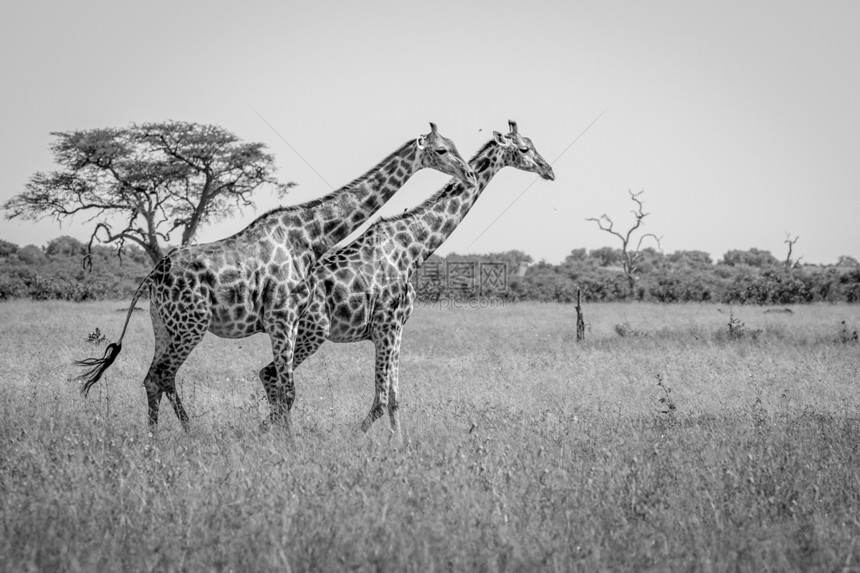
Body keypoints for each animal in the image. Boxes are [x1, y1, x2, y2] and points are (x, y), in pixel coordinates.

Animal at [75, 122, 478, 434]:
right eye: (442, 149)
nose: (470, 175)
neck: (310, 236)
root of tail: (153, 275)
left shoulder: (289, 320)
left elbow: (283, 388)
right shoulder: (282, 318)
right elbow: (287, 390)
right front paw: (289, 444)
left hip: (164, 326)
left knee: (155, 377)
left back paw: (163, 434)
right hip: (191, 325)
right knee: (160, 376)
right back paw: (175, 434)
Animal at [262, 119, 556, 442]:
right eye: (524, 148)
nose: (549, 170)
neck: (413, 248)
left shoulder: (398, 327)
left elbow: (394, 396)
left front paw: (399, 441)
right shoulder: (385, 325)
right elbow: (380, 398)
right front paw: (362, 438)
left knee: (270, 376)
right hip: (311, 331)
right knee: (272, 375)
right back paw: (279, 434)